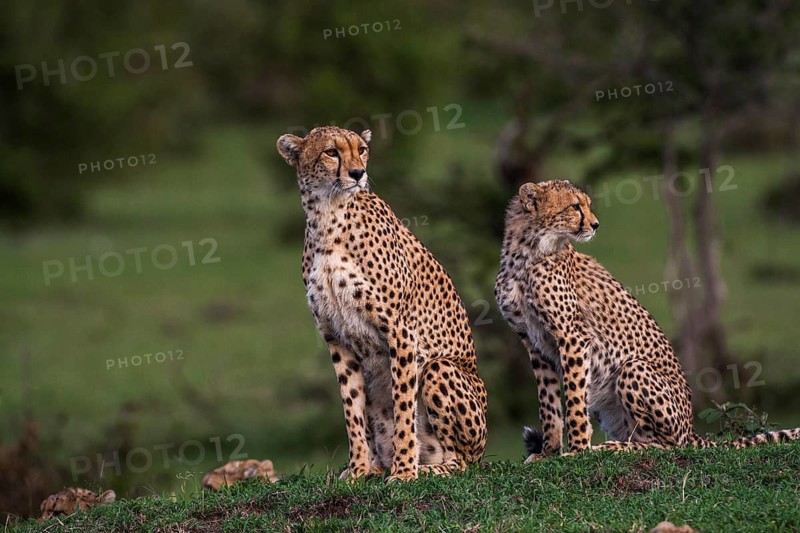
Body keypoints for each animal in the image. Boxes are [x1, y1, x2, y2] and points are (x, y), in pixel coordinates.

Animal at [276, 126, 487, 482]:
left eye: (361, 150)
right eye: (331, 152)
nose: (357, 173)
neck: (327, 214)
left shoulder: (400, 333)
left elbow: (403, 407)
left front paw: (403, 472)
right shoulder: (336, 337)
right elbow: (352, 409)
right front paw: (358, 469)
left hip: (442, 369)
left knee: (462, 462)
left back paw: (426, 467)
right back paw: (378, 465)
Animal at [494, 179, 800, 460]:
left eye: (587, 204)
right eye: (574, 206)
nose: (595, 224)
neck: (528, 252)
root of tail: (691, 429)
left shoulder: (573, 336)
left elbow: (574, 400)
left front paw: (578, 451)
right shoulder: (533, 342)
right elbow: (549, 403)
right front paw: (548, 452)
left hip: (633, 369)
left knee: (664, 446)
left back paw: (613, 448)